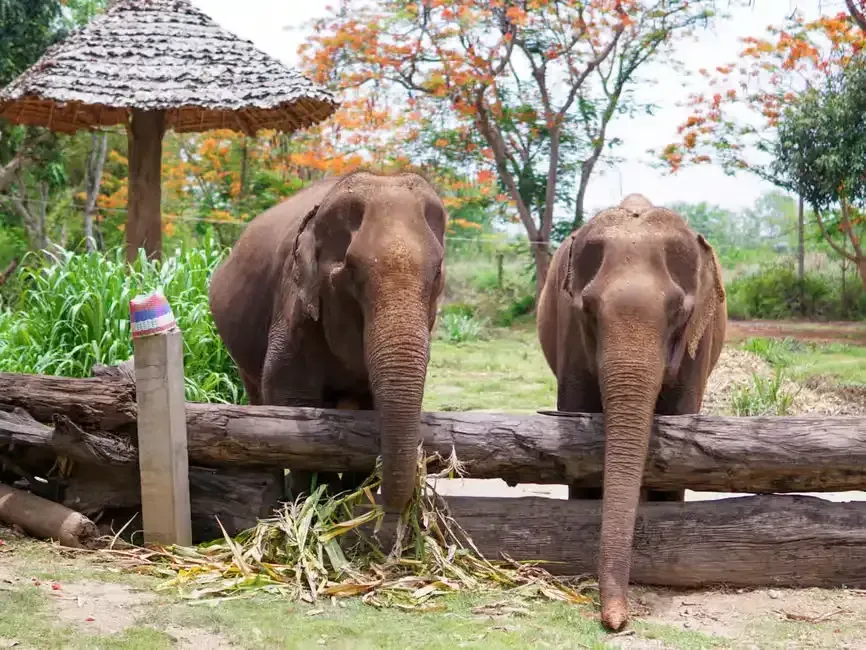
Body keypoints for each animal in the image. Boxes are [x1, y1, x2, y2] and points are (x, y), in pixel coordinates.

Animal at [208, 170, 447, 511]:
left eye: (438, 271)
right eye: (351, 269)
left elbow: (368, 407)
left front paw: (346, 498)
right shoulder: (295, 306)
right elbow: (290, 397)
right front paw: (312, 500)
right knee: (258, 399)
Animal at [536, 193, 727, 631]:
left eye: (679, 312)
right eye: (588, 310)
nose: (616, 621)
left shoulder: (698, 342)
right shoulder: (570, 334)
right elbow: (574, 416)